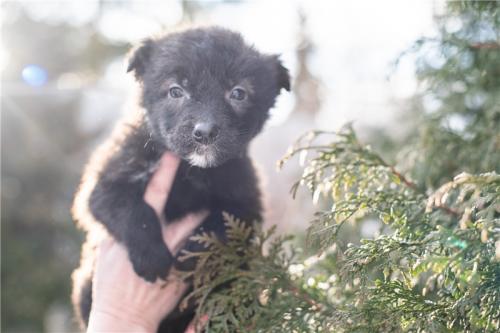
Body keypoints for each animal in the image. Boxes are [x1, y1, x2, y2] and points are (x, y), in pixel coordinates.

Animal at [70, 26, 290, 332]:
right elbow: (133, 211)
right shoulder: (106, 183)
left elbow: (220, 224)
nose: (205, 132)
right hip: (84, 284)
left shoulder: (246, 201)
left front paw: (192, 255)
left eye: (238, 93)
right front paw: (151, 256)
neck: (191, 170)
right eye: (176, 91)